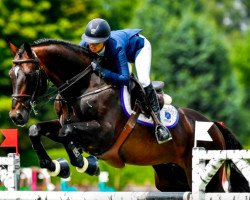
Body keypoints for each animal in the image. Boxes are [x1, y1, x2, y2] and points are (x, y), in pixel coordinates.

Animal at [7, 39, 250, 192]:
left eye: (30, 75)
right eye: (11, 74)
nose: (16, 115)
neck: (83, 87)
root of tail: (214, 125)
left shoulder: (103, 134)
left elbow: (68, 133)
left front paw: (83, 163)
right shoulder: (66, 123)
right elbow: (38, 129)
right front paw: (54, 165)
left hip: (205, 174)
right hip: (171, 177)